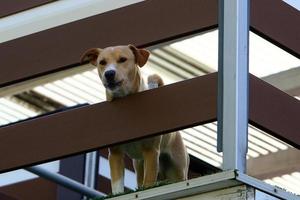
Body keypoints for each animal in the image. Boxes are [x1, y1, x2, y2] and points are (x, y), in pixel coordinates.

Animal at [81, 45, 189, 194]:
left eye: (122, 59)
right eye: (102, 62)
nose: (109, 73)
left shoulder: (151, 152)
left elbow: (148, 184)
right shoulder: (115, 154)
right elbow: (117, 186)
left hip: (177, 170)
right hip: (139, 165)